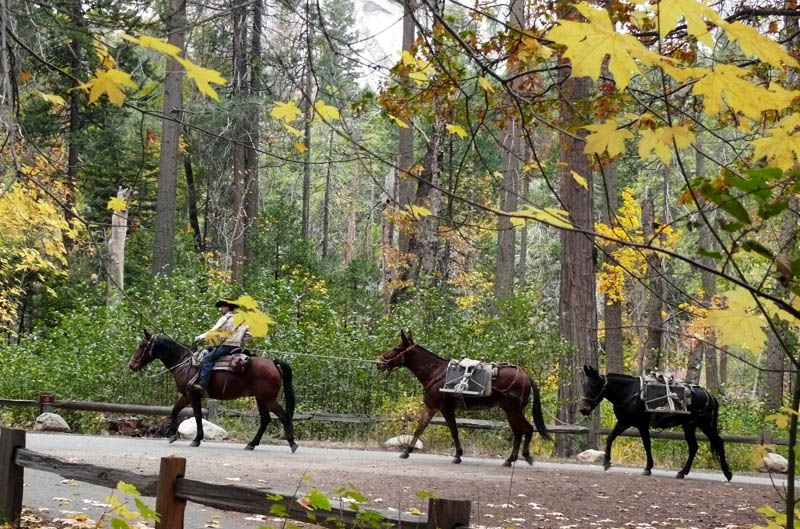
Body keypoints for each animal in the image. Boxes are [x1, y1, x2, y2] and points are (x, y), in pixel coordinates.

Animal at [130, 330, 296, 450]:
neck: (184, 362)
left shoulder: (192, 394)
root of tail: (273, 363)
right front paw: (172, 434)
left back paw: (292, 443)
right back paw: (251, 444)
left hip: (268, 398)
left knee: (283, 416)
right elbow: (175, 410)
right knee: (265, 419)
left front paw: (196, 439)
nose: (131, 365)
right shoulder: (186, 395)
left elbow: (197, 415)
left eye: (141, 345)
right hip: (260, 398)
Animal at [378, 330, 552, 466]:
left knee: (526, 429)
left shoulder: (446, 408)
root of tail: (526, 376)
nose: (379, 362)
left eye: (396, 347)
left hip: (512, 410)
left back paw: (523, 457)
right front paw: (406, 451)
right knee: (518, 432)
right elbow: (419, 428)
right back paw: (510, 459)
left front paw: (458, 455)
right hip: (512, 411)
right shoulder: (430, 407)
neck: (435, 373)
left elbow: (454, 431)